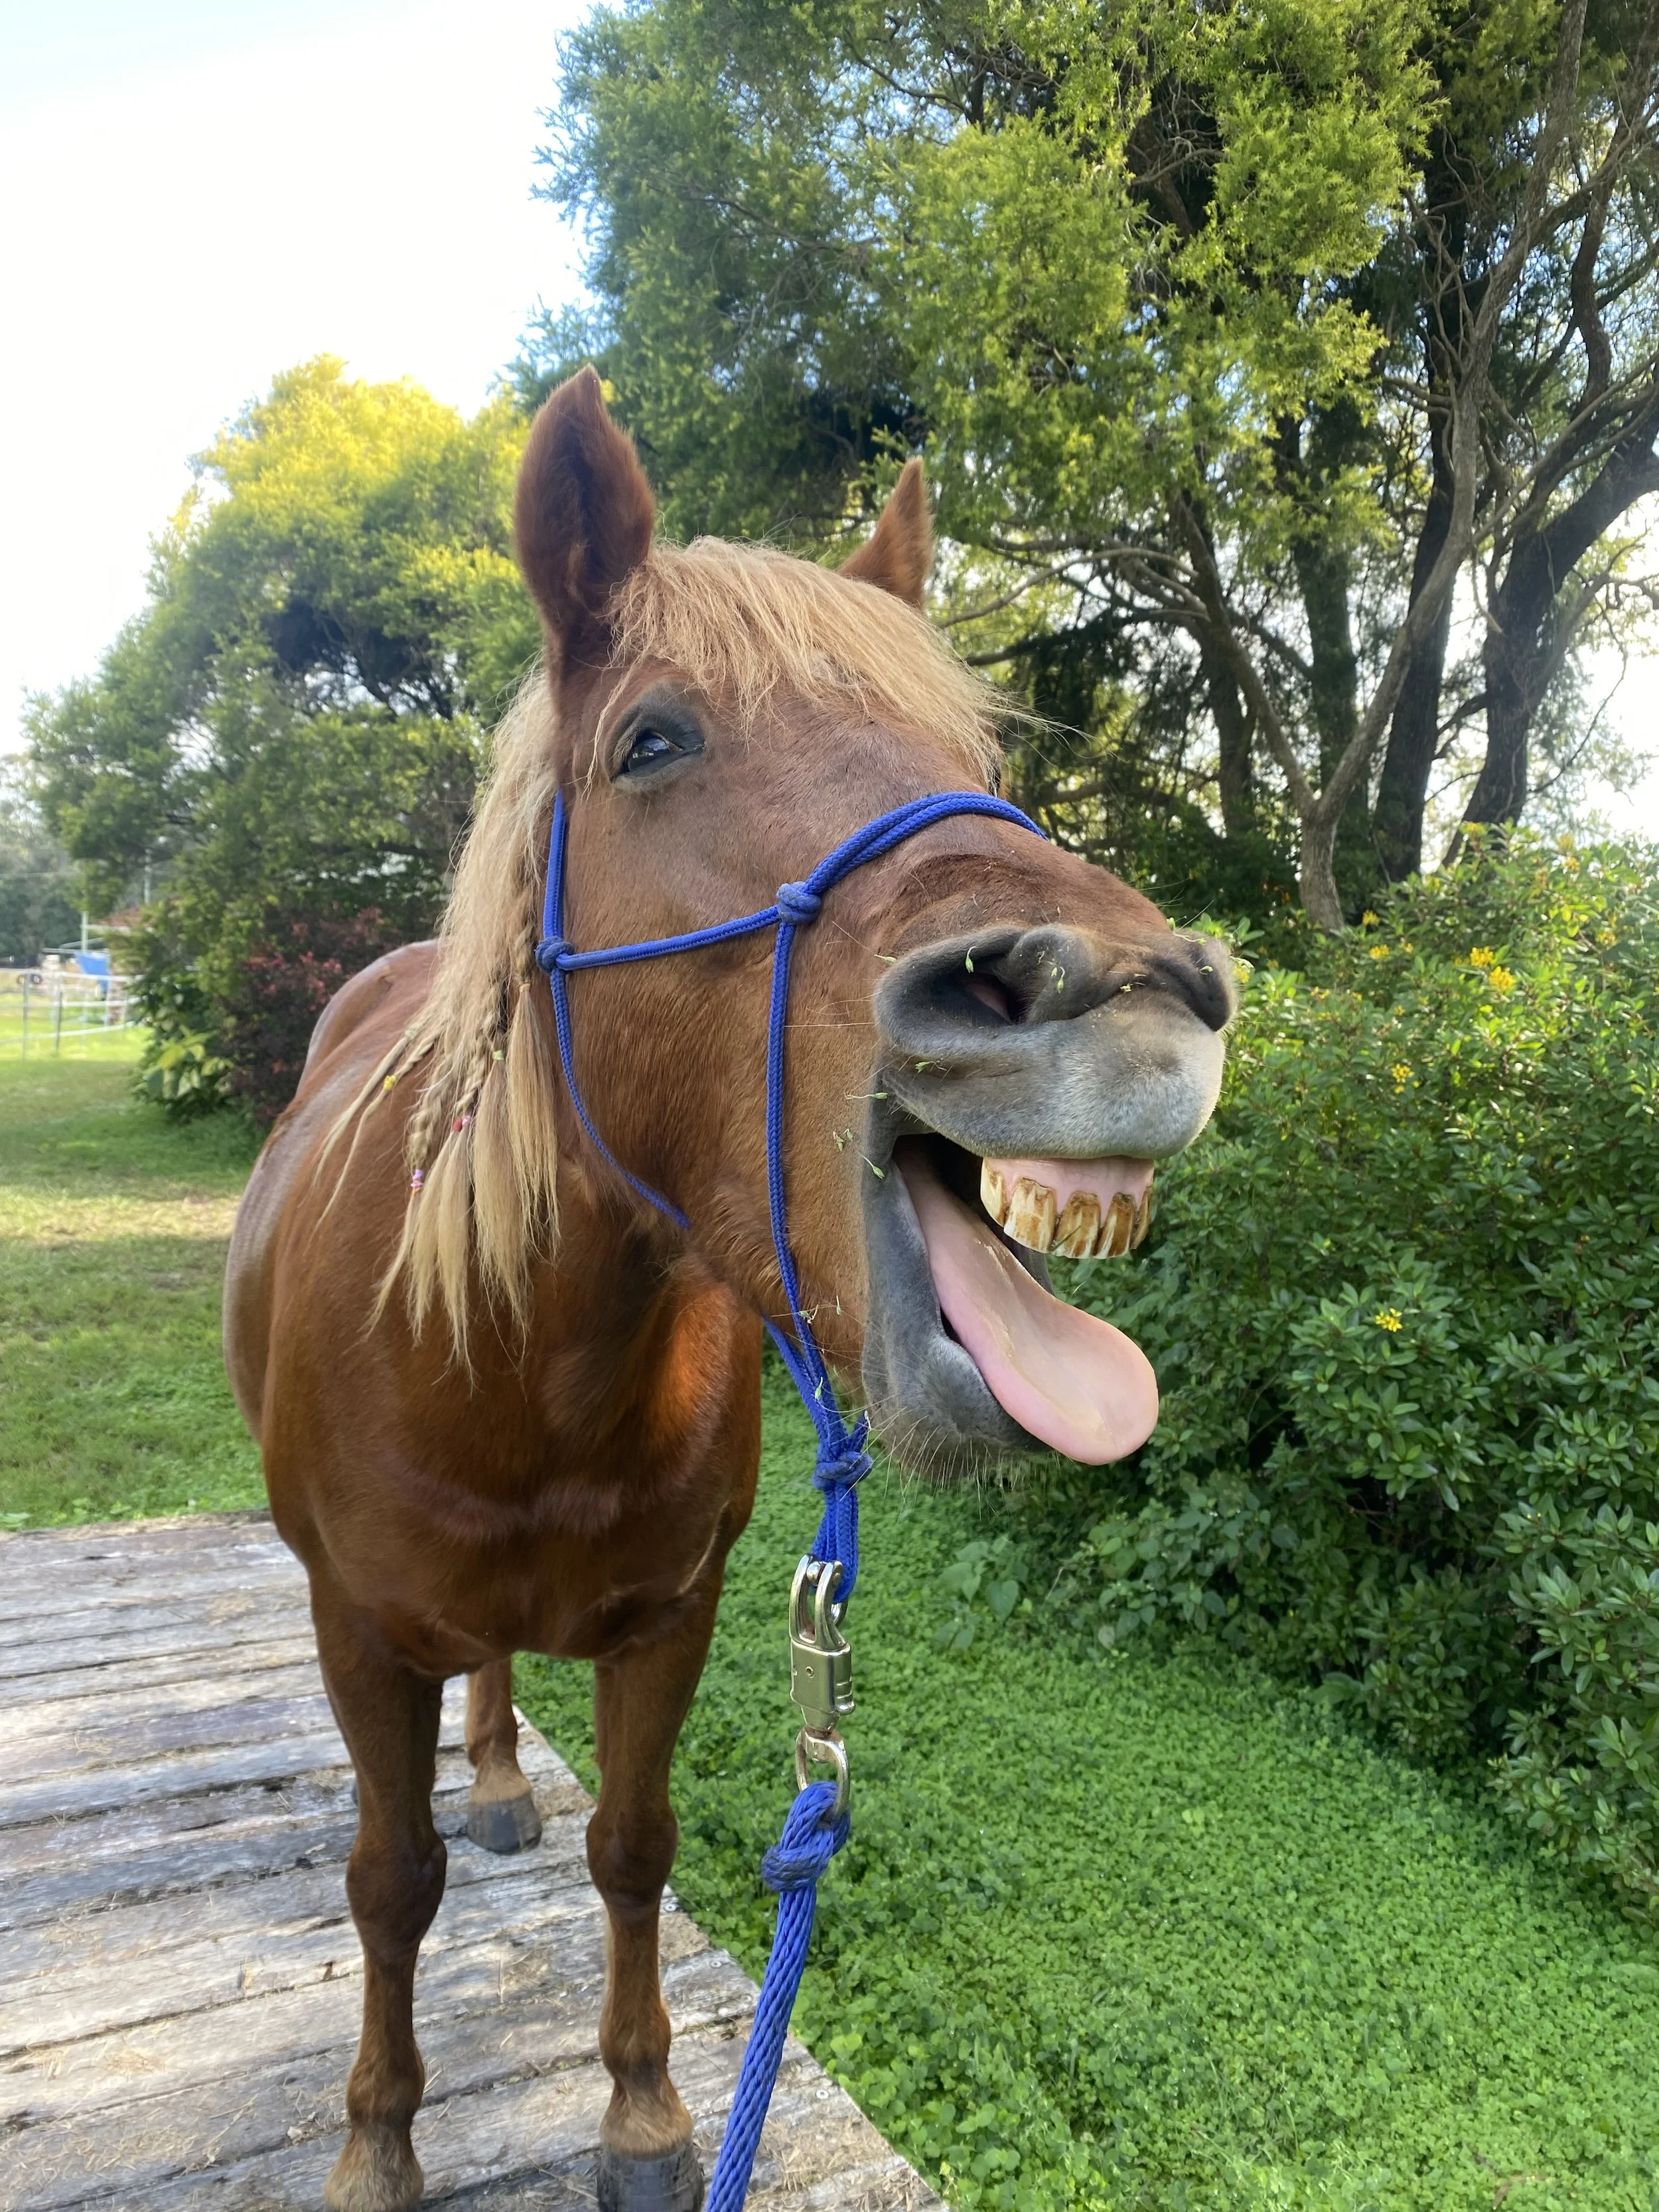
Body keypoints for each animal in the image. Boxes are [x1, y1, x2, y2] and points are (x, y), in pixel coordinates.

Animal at [223, 366, 1235, 2212]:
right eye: (652, 740)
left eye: (974, 758)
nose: (1128, 993)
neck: (525, 1364)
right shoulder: (358, 1631)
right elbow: (389, 1879)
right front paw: (378, 2136)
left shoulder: (672, 1619)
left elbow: (636, 1847)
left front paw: (642, 2113)